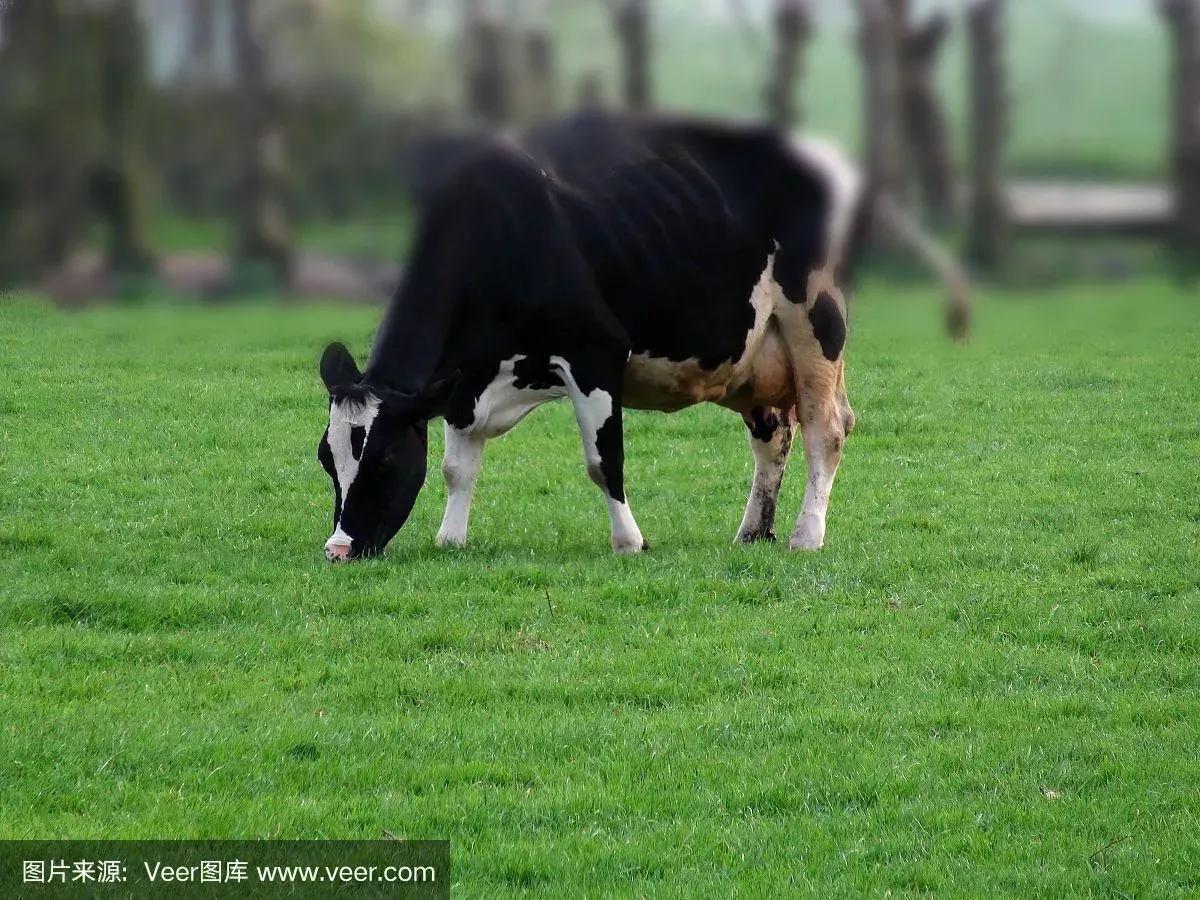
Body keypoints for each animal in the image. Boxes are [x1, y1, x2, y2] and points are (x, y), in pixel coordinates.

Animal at [316, 112, 955, 564]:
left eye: (383, 460)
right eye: (327, 458)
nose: (338, 550)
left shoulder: (595, 353)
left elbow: (605, 460)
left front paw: (630, 541)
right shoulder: (464, 379)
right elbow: (457, 466)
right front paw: (451, 538)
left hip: (816, 319)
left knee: (828, 426)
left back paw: (806, 535)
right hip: (756, 352)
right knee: (774, 435)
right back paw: (754, 532)